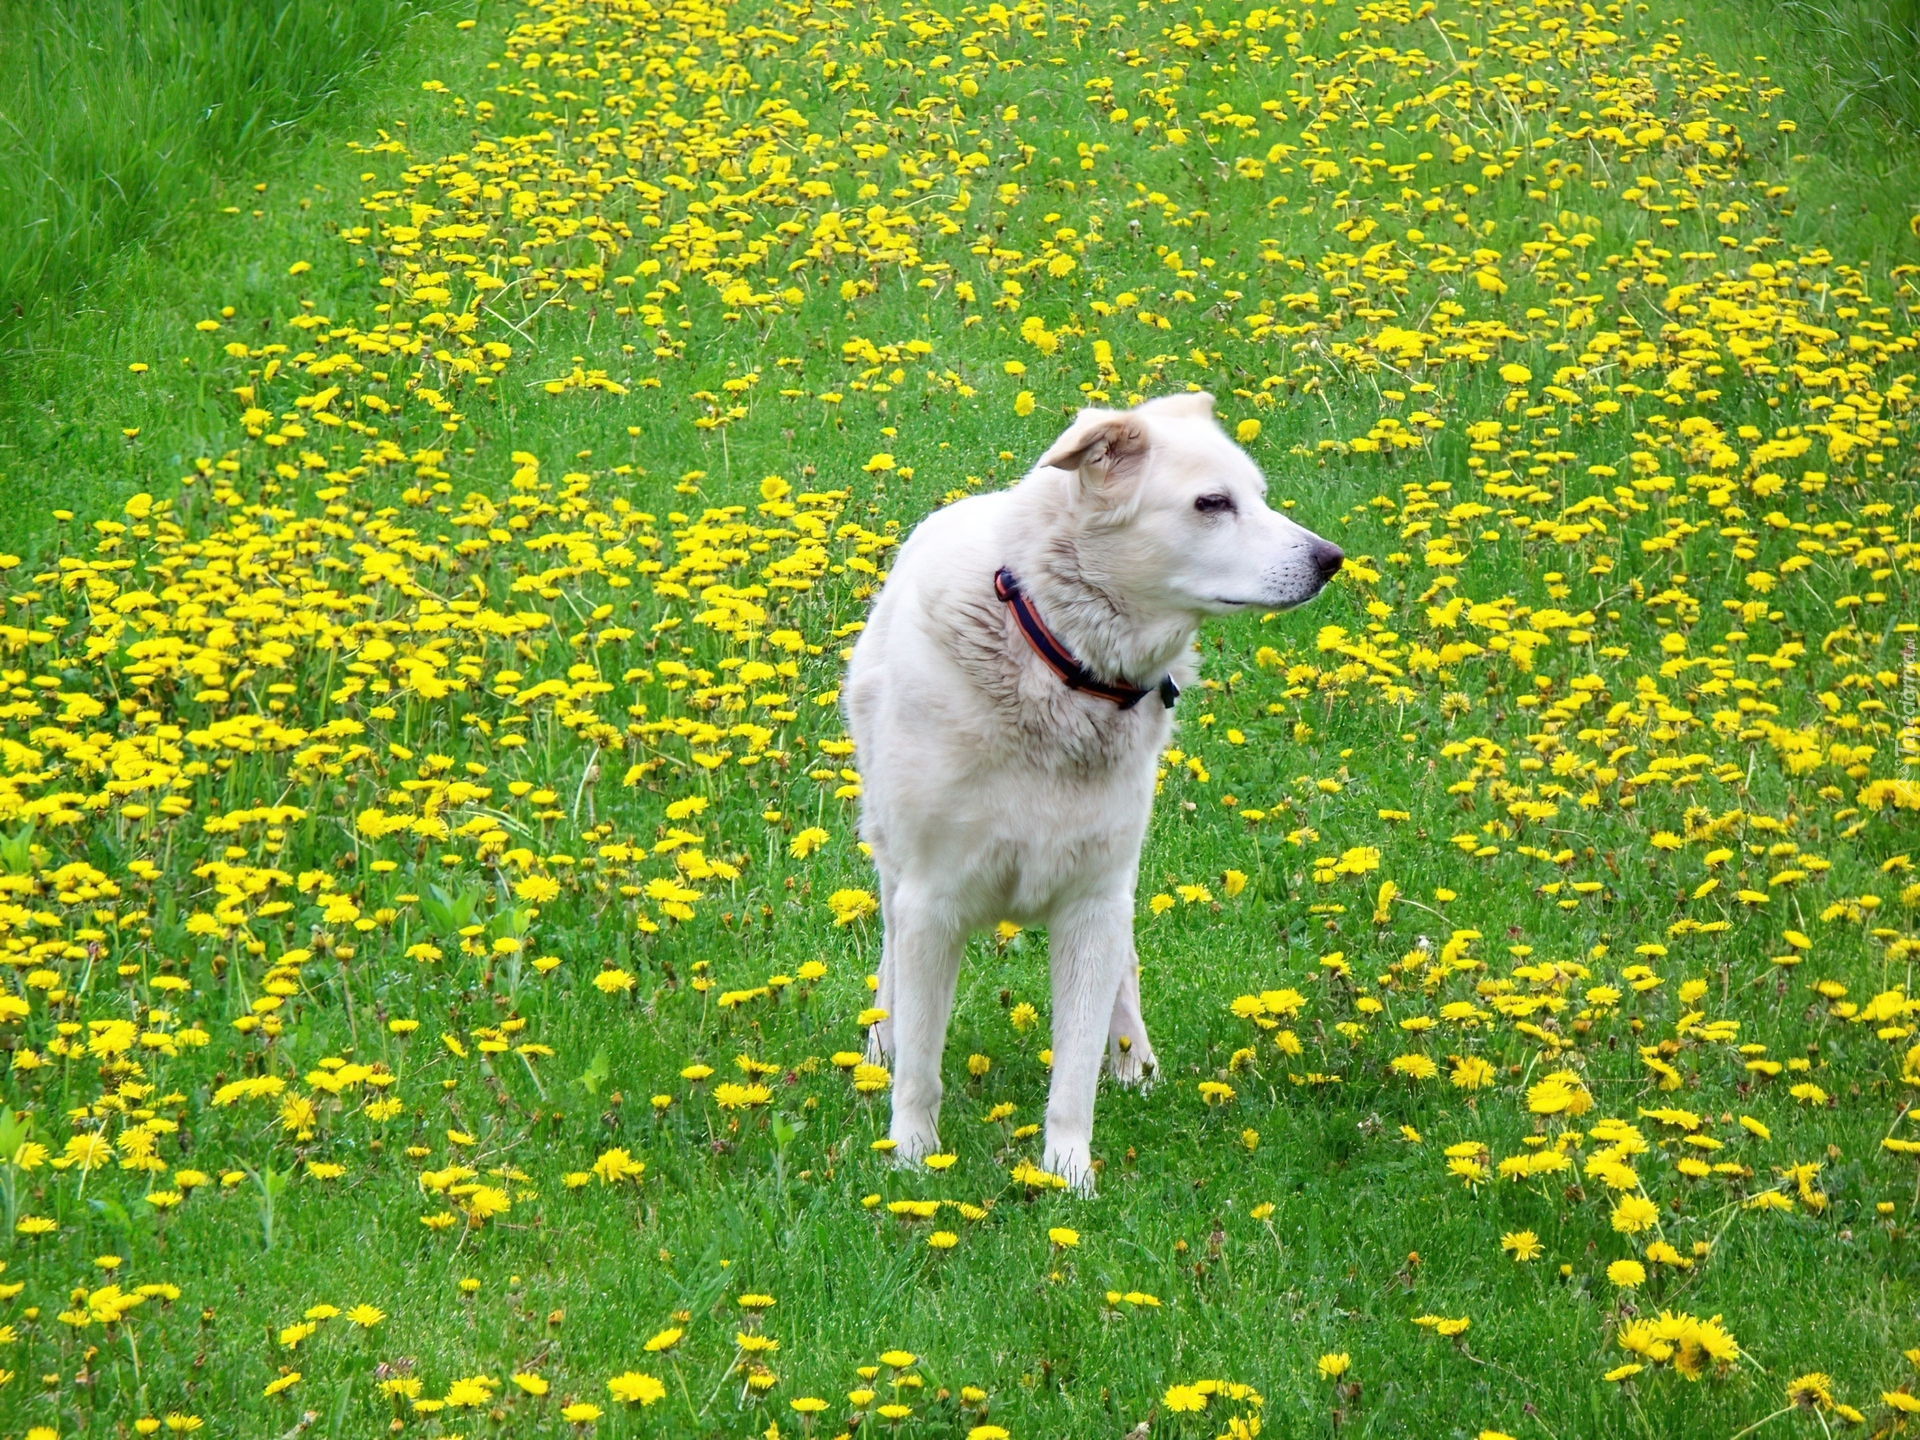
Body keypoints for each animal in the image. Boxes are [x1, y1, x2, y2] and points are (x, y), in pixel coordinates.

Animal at [848, 391, 1344, 1198]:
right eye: (1213, 503)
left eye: (1259, 496)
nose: (1330, 560)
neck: (1057, 661)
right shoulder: (932, 903)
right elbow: (922, 1062)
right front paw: (916, 1161)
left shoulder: (1092, 905)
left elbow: (1075, 1073)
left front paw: (1068, 1176)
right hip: (895, 865)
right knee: (891, 962)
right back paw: (877, 1049)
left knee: (1126, 974)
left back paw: (1135, 1062)